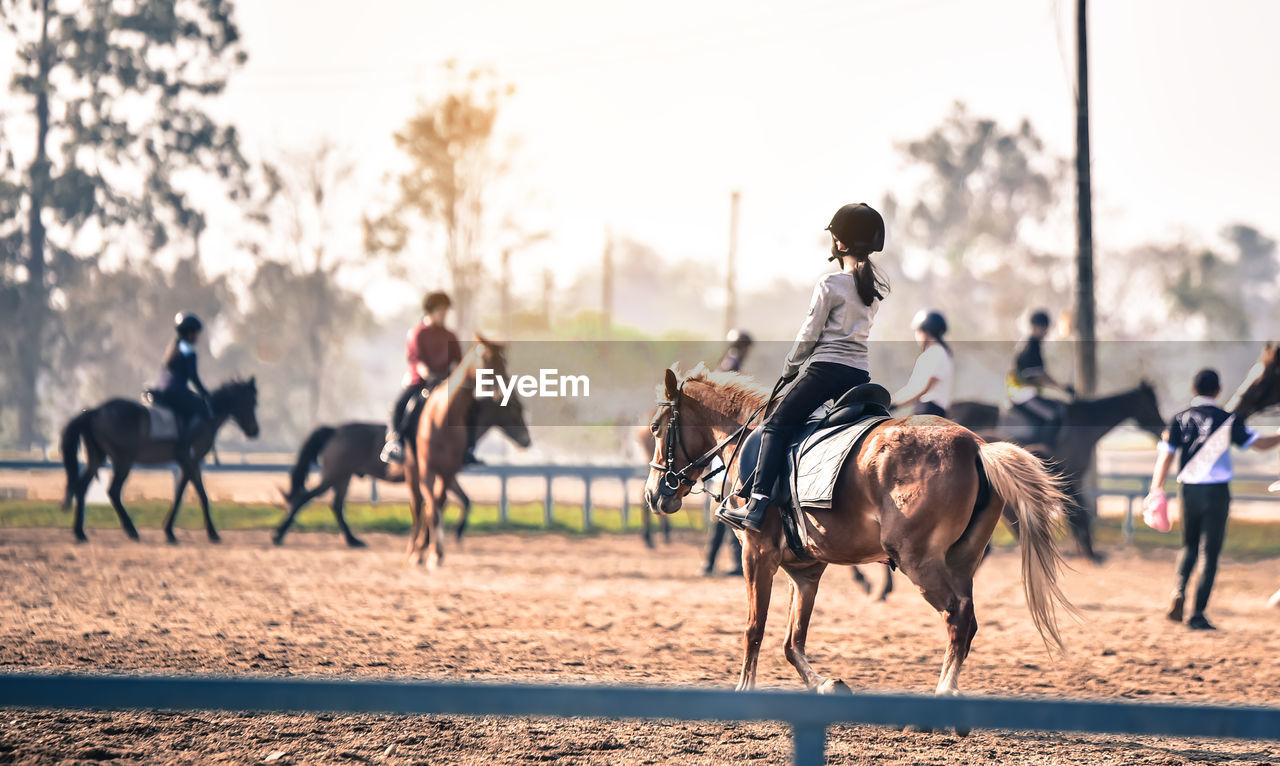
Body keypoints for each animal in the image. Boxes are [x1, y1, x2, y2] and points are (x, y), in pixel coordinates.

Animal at [60, 381, 259, 543]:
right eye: (251, 402)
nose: (254, 431)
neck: (207, 416)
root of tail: (96, 411)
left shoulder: (187, 463)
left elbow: (179, 494)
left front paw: (169, 531)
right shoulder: (192, 461)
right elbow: (202, 494)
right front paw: (212, 533)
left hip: (97, 458)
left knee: (82, 488)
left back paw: (80, 533)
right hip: (123, 460)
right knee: (114, 491)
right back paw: (131, 531)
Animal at [270, 394, 529, 548]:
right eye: (514, 412)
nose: (527, 441)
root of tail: (334, 430)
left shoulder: (446, 477)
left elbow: (464, 501)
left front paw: (450, 533)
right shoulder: (441, 476)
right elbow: (450, 502)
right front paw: (444, 535)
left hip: (343, 477)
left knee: (336, 505)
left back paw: (353, 540)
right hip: (334, 475)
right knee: (305, 498)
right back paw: (279, 535)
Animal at [404, 338, 514, 571]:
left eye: (504, 361)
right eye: (486, 358)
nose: (503, 390)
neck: (442, 418)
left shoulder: (448, 471)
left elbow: (439, 505)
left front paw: (435, 551)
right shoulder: (427, 469)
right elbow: (431, 509)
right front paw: (429, 552)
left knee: (430, 504)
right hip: (411, 469)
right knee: (417, 505)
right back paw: (414, 550)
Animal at [640, 366, 1070, 701]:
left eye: (657, 428)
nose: (653, 493)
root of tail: (977, 445)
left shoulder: (757, 555)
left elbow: (754, 629)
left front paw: (745, 690)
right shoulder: (806, 571)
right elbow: (792, 642)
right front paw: (826, 684)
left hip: (918, 561)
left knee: (957, 617)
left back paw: (945, 692)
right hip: (961, 562)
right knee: (967, 622)